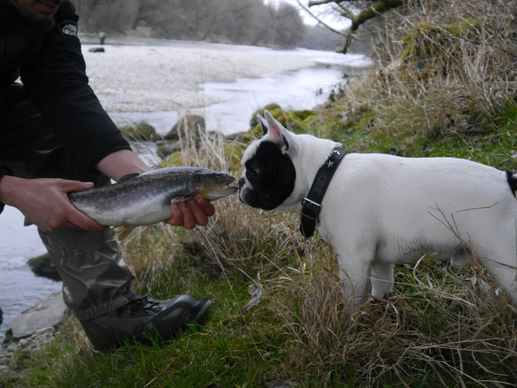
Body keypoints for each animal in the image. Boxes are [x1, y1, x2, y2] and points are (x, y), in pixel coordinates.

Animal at [238, 110, 516, 310]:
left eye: (255, 171)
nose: (239, 182)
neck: (324, 175)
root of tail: (509, 180)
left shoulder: (353, 260)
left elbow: (352, 299)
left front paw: (348, 326)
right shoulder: (380, 261)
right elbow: (380, 288)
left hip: (503, 260)